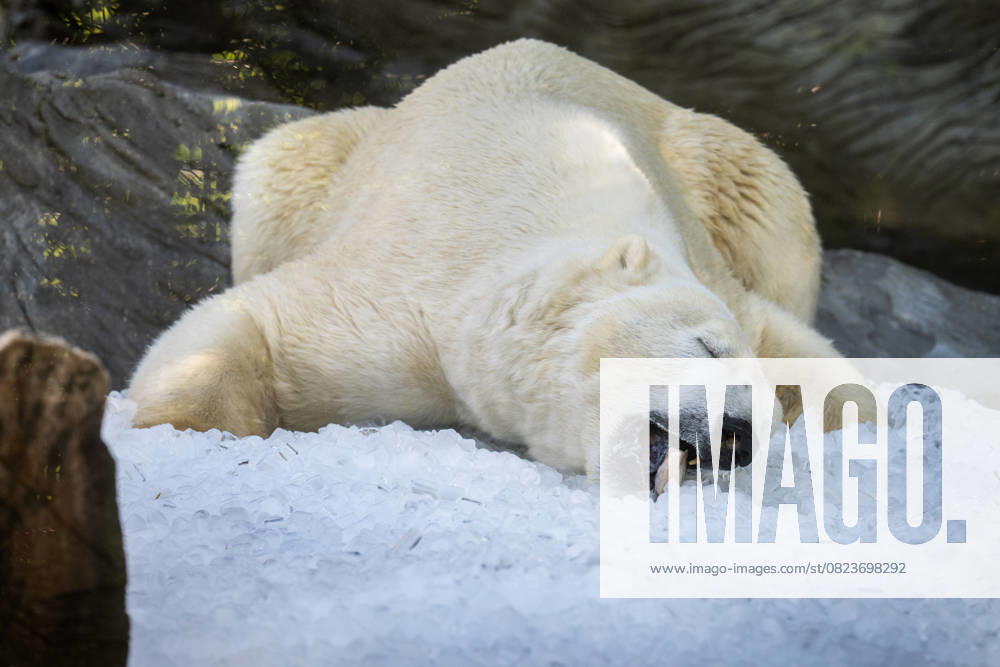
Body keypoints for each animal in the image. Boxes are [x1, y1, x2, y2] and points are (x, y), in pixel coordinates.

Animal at [129, 39, 845, 479]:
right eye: (707, 348)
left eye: (767, 414)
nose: (736, 437)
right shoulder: (417, 292)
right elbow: (262, 324)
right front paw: (181, 435)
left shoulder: (721, 279)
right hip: (324, 168)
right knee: (280, 161)